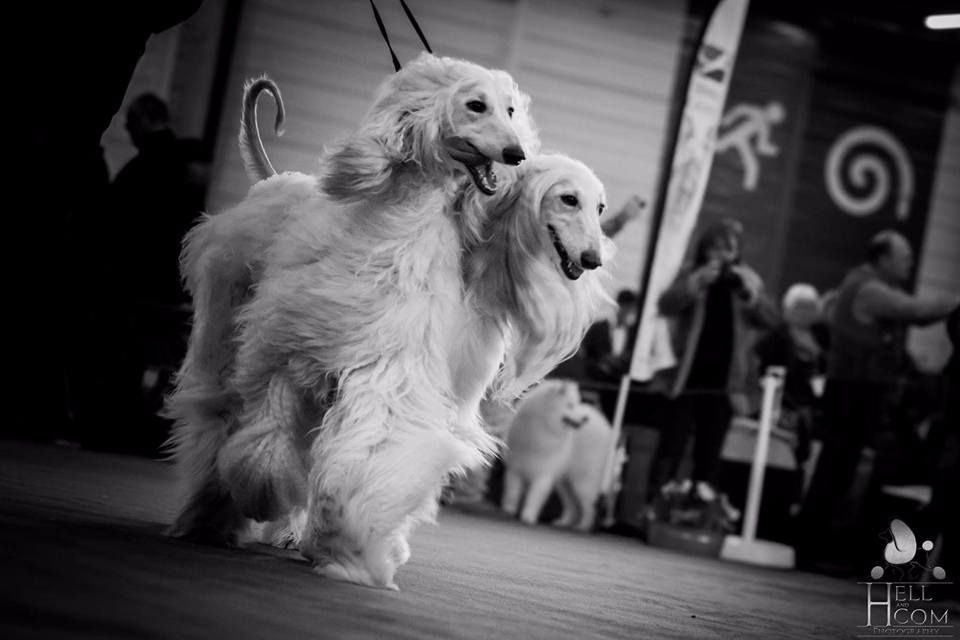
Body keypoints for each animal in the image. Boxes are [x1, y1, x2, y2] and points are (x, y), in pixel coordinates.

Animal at [166, 53, 535, 559]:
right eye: (476, 105)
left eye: (511, 110)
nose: (517, 154)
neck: (397, 228)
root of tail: (275, 180)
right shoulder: (289, 351)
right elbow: (265, 438)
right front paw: (262, 492)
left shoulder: (381, 366)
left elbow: (366, 442)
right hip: (226, 322)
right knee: (218, 414)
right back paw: (208, 514)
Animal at [500, 379, 615, 532]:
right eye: (570, 405)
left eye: (575, 404)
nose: (585, 419)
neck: (542, 426)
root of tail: (607, 428)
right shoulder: (515, 469)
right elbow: (512, 492)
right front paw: (509, 510)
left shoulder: (543, 475)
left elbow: (534, 497)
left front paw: (528, 516)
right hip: (565, 484)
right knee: (573, 506)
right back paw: (564, 522)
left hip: (584, 482)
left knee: (589, 507)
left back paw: (583, 526)